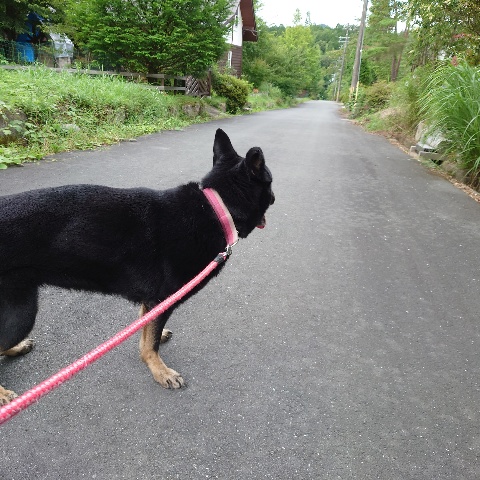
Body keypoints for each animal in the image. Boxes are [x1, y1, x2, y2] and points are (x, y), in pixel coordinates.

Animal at [0, 129, 274, 405]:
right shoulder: (162, 299)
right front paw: (160, 370)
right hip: (22, 313)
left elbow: (146, 330)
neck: (216, 208)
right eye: (270, 183)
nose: (275, 197)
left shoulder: (152, 302)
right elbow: (150, 344)